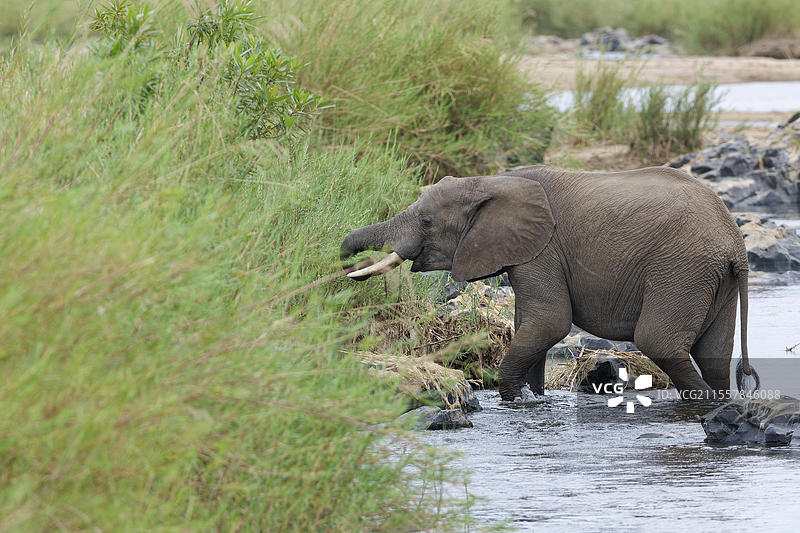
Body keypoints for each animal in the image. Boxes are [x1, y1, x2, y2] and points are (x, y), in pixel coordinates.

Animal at [341, 165, 756, 401]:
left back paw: (709, 406)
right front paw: (534, 398)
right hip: (712, 278)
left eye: (426, 221)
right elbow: (529, 324)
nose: (344, 265)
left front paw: (516, 399)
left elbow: (549, 322)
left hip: (682, 268)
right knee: (713, 353)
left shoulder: (543, 250)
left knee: (658, 341)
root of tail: (736, 242)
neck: (490, 181)